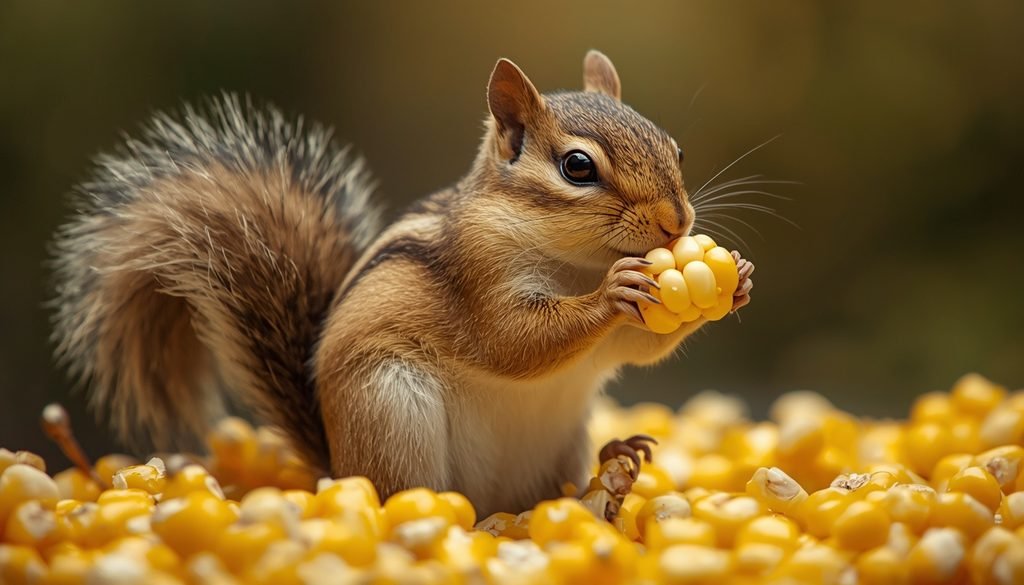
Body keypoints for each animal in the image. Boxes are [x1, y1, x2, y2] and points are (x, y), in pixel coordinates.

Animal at [51, 50, 753, 516]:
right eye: (578, 167)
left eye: (675, 148)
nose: (677, 222)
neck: (575, 260)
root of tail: (336, 466)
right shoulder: (477, 275)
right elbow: (515, 342)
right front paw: (612, 293)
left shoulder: (616, 341)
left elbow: (639, 347)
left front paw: (736, 279)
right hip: (391, 411)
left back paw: (609, 469)